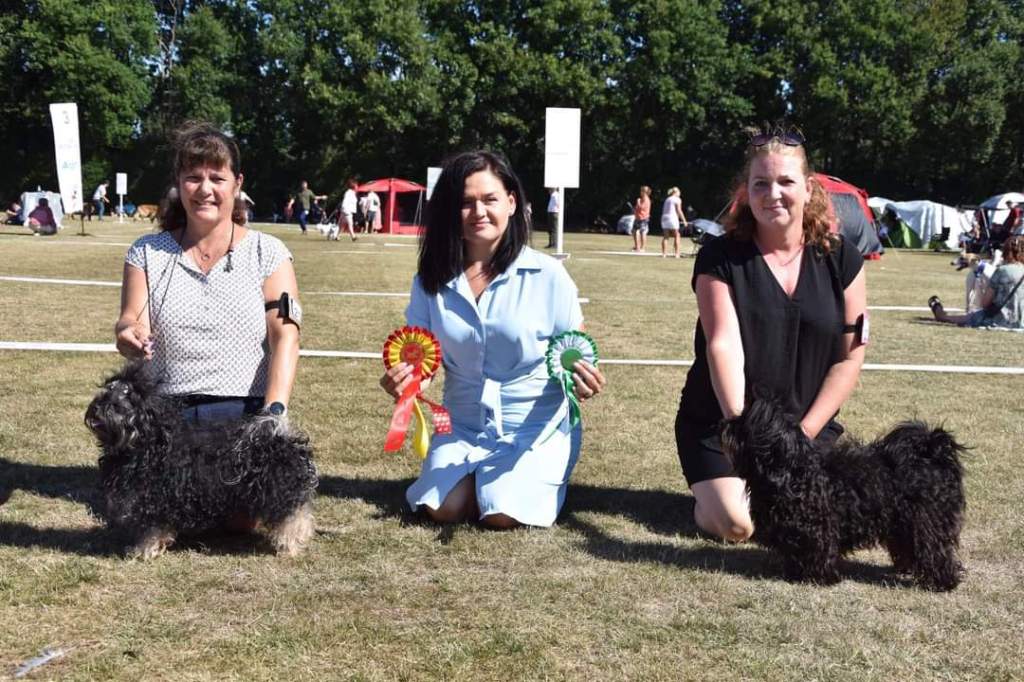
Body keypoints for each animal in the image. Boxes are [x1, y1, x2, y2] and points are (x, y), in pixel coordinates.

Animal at [84, 362, 318, 559]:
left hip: (279, 495)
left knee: (293, 519)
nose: (95, 408)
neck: (147, 442)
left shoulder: (153, 502)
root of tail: (279, 440)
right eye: (102, 396)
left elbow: (150, 531)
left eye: (116, 405)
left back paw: (291, 546)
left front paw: (143, 552)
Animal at [721, 396, 966, 591]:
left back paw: (942, 582)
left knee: (936, 551)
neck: (792, 470)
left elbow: (818, 552)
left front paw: (819, 578)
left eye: (743, 425)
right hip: (904, 525)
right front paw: (795, 573)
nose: (725, 423)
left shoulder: (817, 530)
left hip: (926, 523)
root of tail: (934, 453)